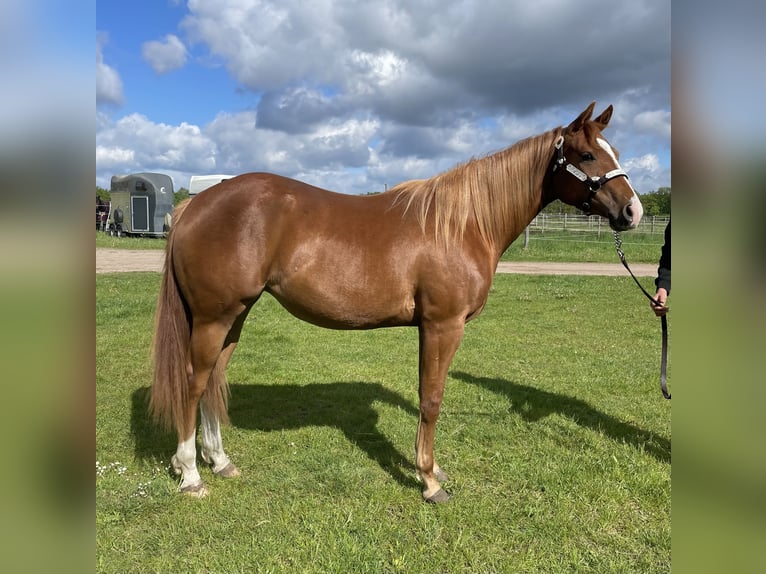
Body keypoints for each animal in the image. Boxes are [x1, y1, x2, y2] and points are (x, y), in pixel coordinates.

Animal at [150, 102, 643, 502]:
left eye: (615, 150)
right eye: (587, 155)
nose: (633, 211)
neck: (462, 224)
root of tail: (194, 205)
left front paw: (433, 469)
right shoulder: (443, 325)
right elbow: (432, 398)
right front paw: (429, 480)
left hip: (233, 316)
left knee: (213, 381)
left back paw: (219, 461)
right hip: (214, 317)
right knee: (194, 382)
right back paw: (191, 474)